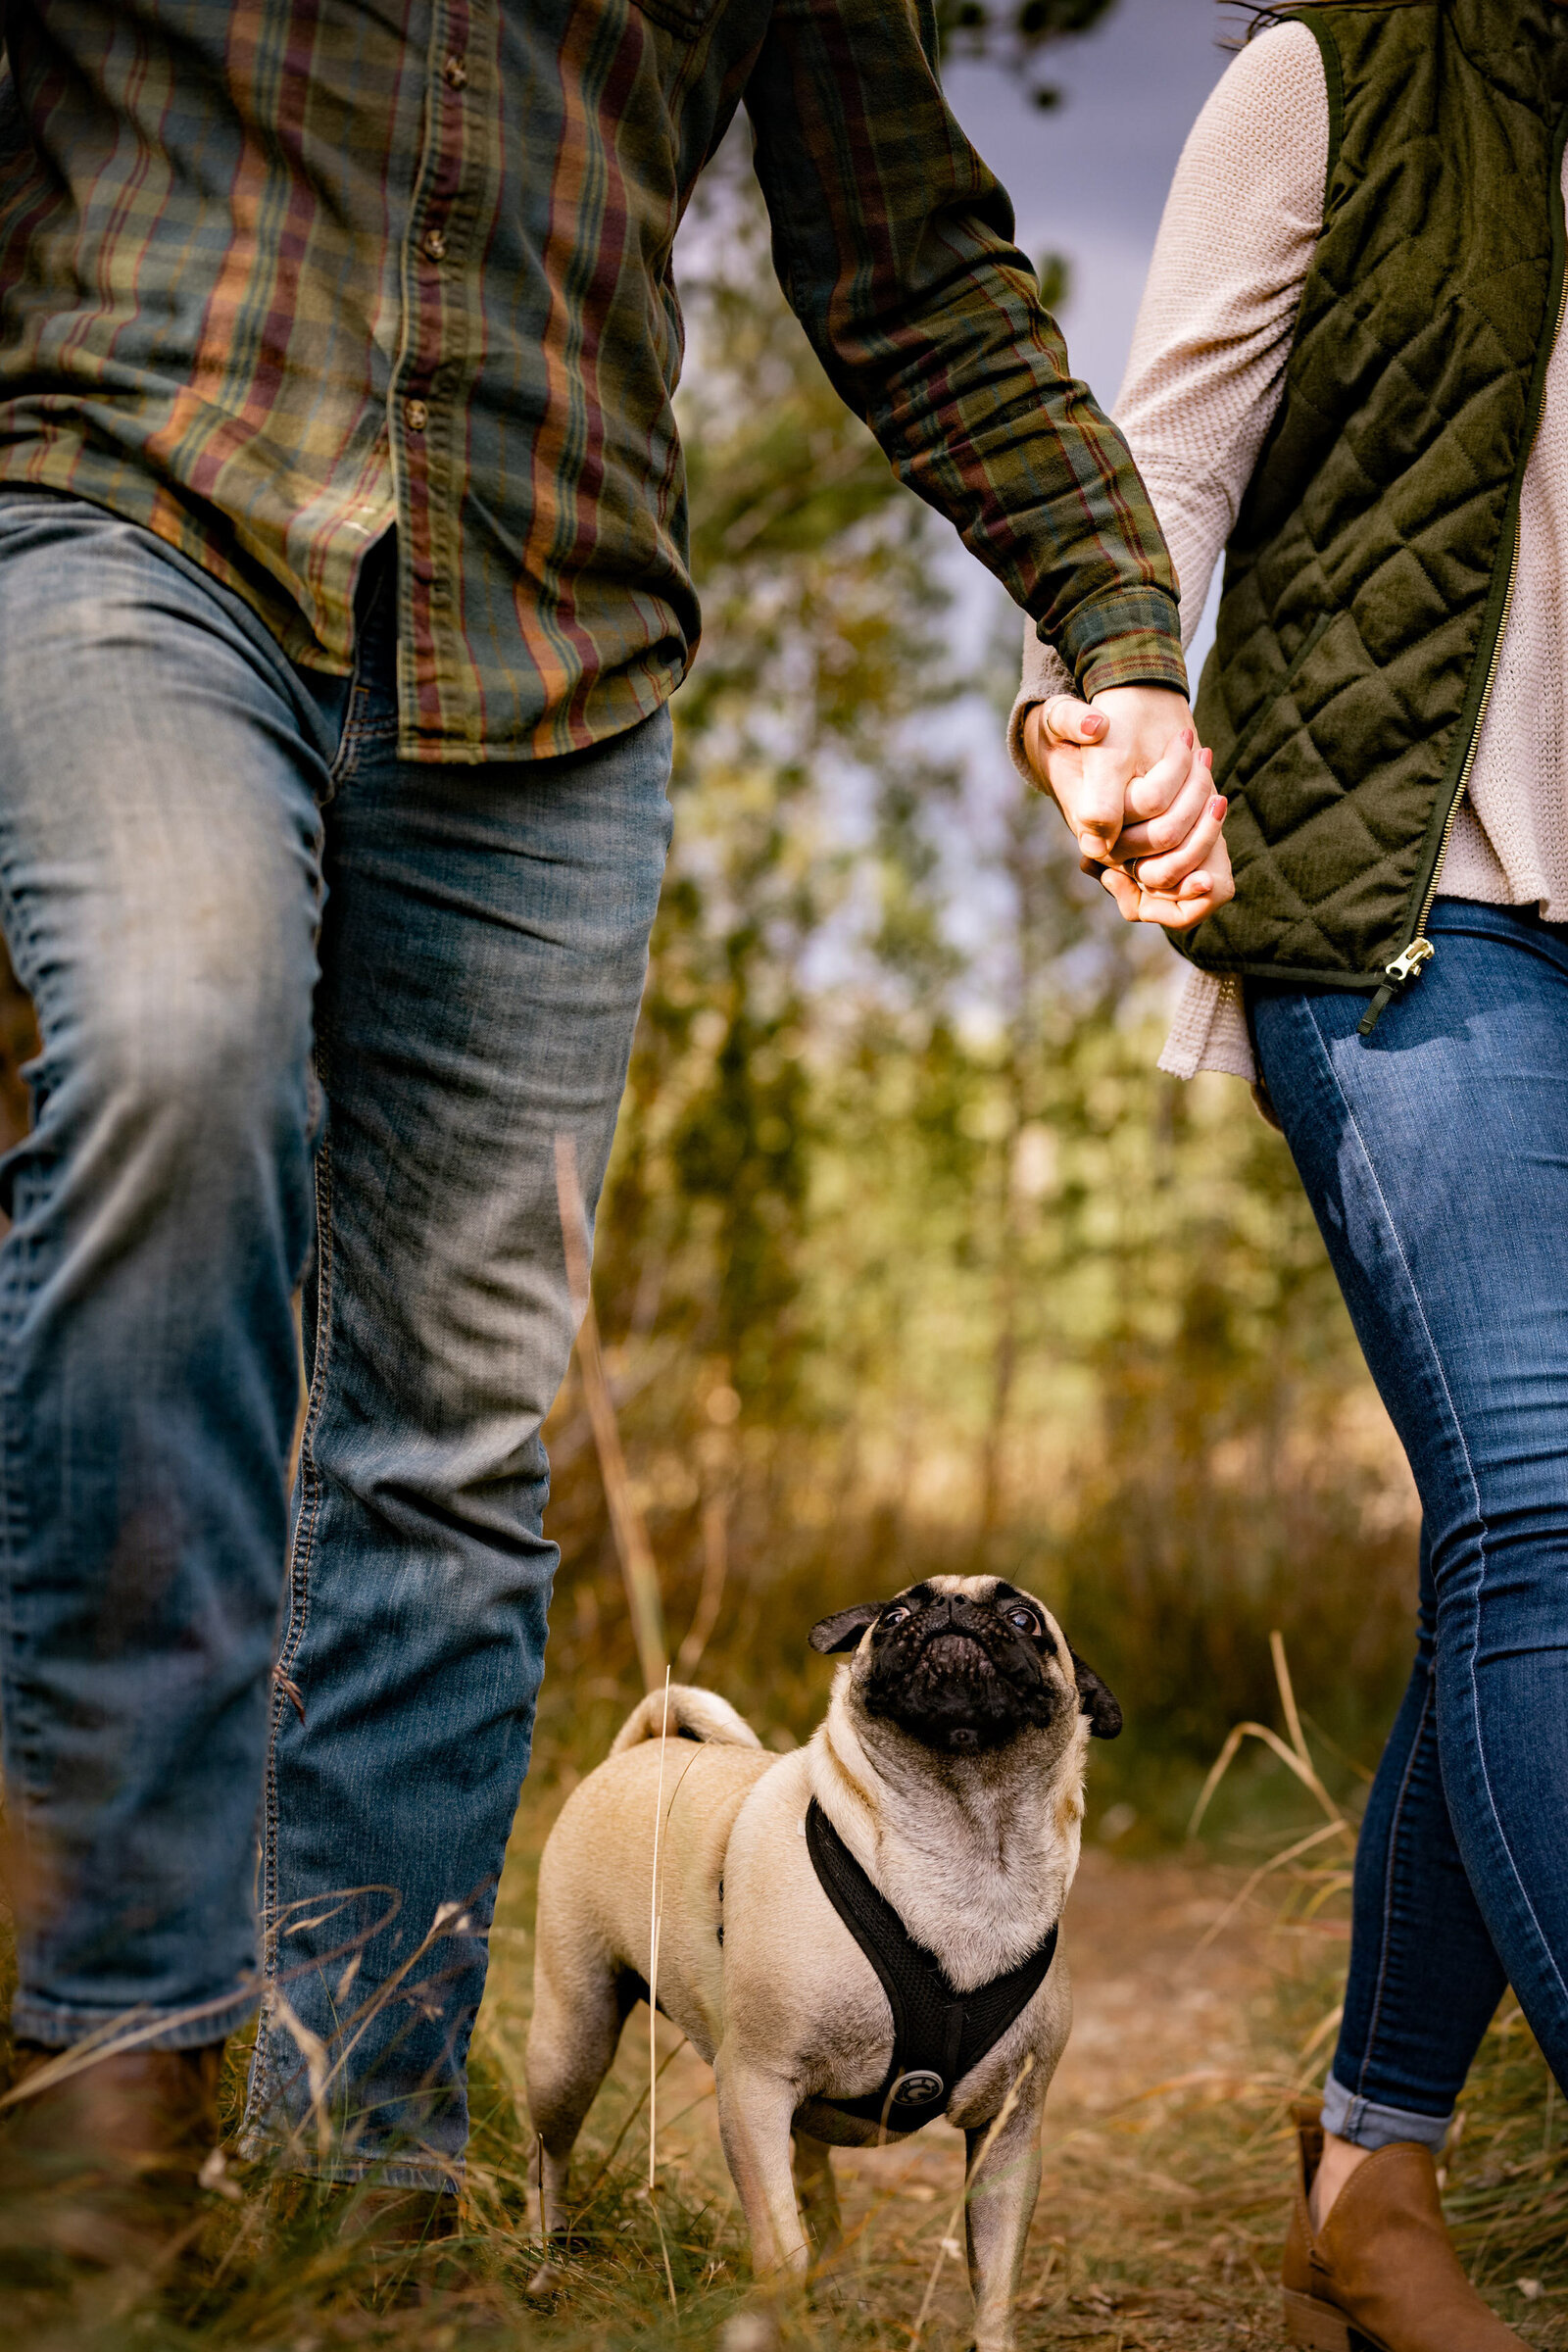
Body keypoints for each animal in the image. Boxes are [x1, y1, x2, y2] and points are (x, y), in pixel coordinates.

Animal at [533, 1571, 1123, 2342]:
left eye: (1024, 1618)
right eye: (896, 1615)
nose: (952, 1608)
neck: (965, 1844)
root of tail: (642, 1748)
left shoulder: (1009, 2134)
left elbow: (995, 2284)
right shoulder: (752, 2088)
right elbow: (782, 2247)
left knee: (815, 2180)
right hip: (572, 2045)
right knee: (550, 2156)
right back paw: (544, 2269)